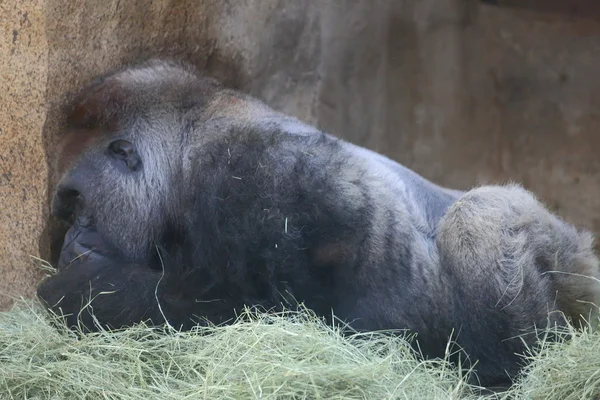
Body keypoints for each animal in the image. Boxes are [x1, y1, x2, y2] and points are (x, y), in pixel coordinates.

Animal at [37, 58, 600, 388]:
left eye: (75, 202)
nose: (67, 241)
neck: (186, 150)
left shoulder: (260, 177)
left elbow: (260, 309)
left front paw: (79, 288)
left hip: (567, 255)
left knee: (476, 220)